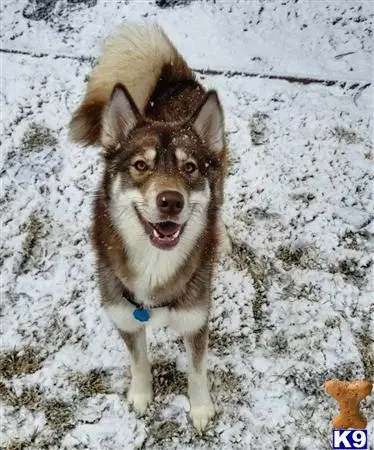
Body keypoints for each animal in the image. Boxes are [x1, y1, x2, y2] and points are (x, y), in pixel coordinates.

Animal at [68, 22, 229, 430]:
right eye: (141, 165)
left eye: (189, 167)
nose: (171, 201)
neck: (155, 266)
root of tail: (175, 78)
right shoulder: (125, 316)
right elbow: (138, 361)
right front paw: (141, 395)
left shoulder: (195, 319)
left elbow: (197, 370)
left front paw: (200, 408)